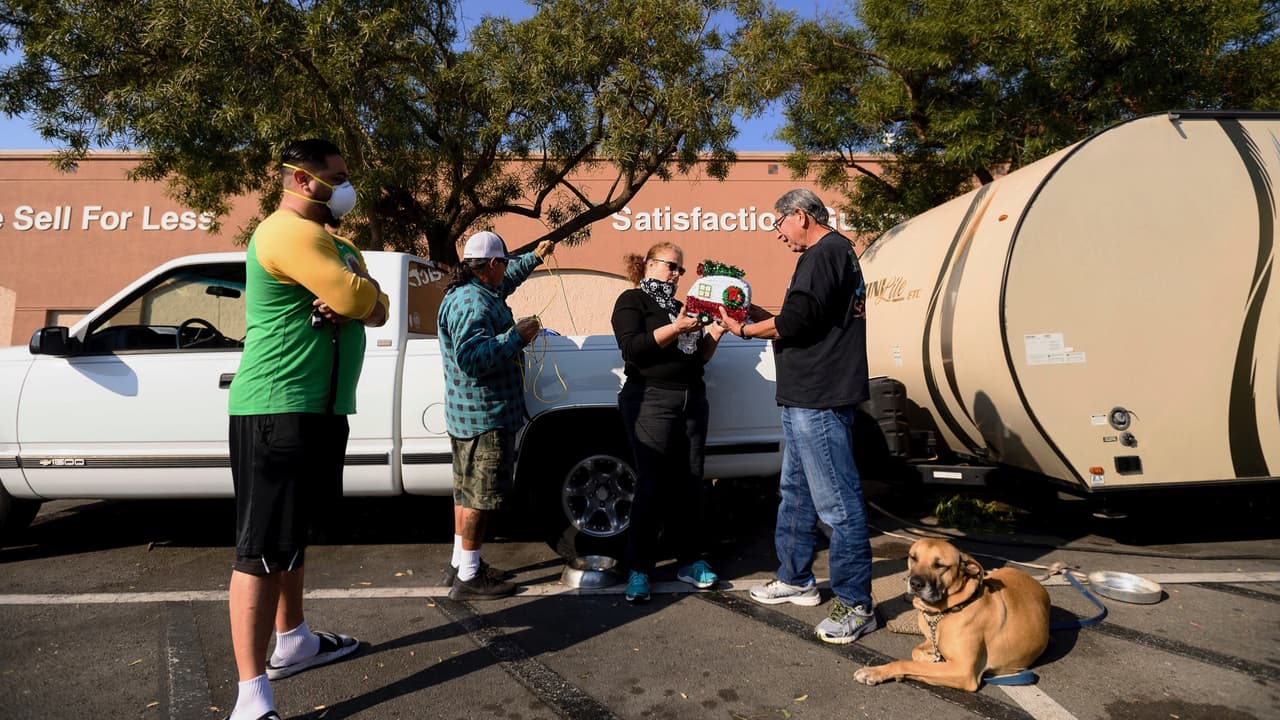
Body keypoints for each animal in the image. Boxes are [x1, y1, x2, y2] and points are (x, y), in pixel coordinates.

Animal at [853, 537, 1050, 691]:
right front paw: (927, 660)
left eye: (940, 565)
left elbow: (906, 662)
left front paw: (875, 671)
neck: (947, 611)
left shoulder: (964, 672)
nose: (915, 583)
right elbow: (916, 652)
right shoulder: (934, 642)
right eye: (913, 557)